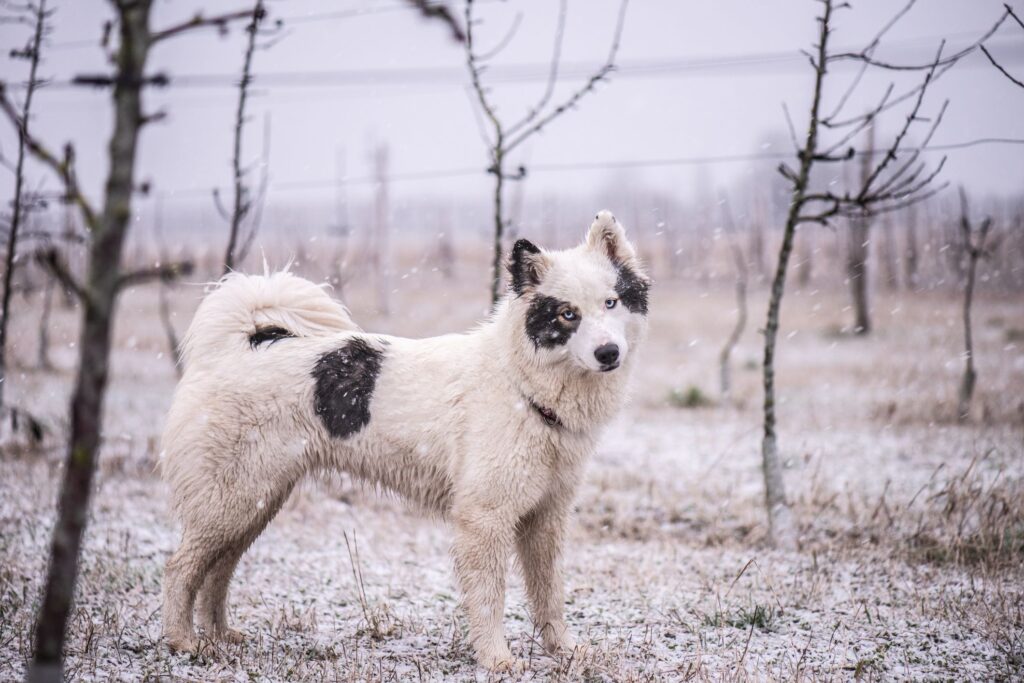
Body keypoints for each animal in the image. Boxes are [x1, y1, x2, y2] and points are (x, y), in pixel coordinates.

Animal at [163, 210, 651, 671]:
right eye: (567, 314)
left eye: (611, 302)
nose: (609, 353)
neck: (521, 383)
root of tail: (234, 349)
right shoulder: (484, 519)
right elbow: (490, 598)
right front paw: (496, 659)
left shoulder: (546, 518)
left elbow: (550, 595)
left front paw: (564, 650)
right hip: (232, 501)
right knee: (180, 569)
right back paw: (183, 642)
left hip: (256, 503)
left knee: (218, 571)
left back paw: (221, 636)